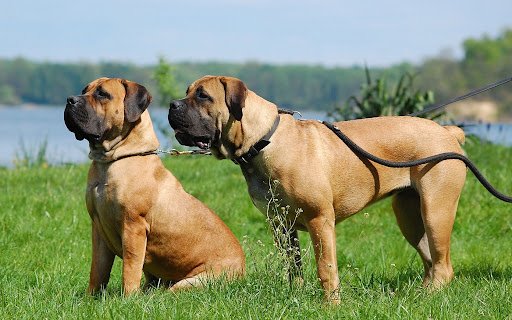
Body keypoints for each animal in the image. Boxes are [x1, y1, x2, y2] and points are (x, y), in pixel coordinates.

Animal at [63, 77, 244, 296]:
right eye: (84, 90)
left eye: (102, 94)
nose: (70, 99)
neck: (112, 161)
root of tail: (243, 269)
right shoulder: (98, 229)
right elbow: (98, 270)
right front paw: (92, 297)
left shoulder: (133, 227)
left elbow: (130, 268)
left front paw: (128, 298)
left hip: (192, 281)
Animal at [167, 75, 468, 302]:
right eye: (187, 92)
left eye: (203, 96)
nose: (171, 104)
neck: (263, 142)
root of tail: (448, 131)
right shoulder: (281, 223)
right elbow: (293, 266)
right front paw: (296, 295)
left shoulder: (319, 219)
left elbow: (326, 267)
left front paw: (330, 304)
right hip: (409, 214)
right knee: (430, 259)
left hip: (436, 210)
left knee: (443, 264)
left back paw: (429, 296)